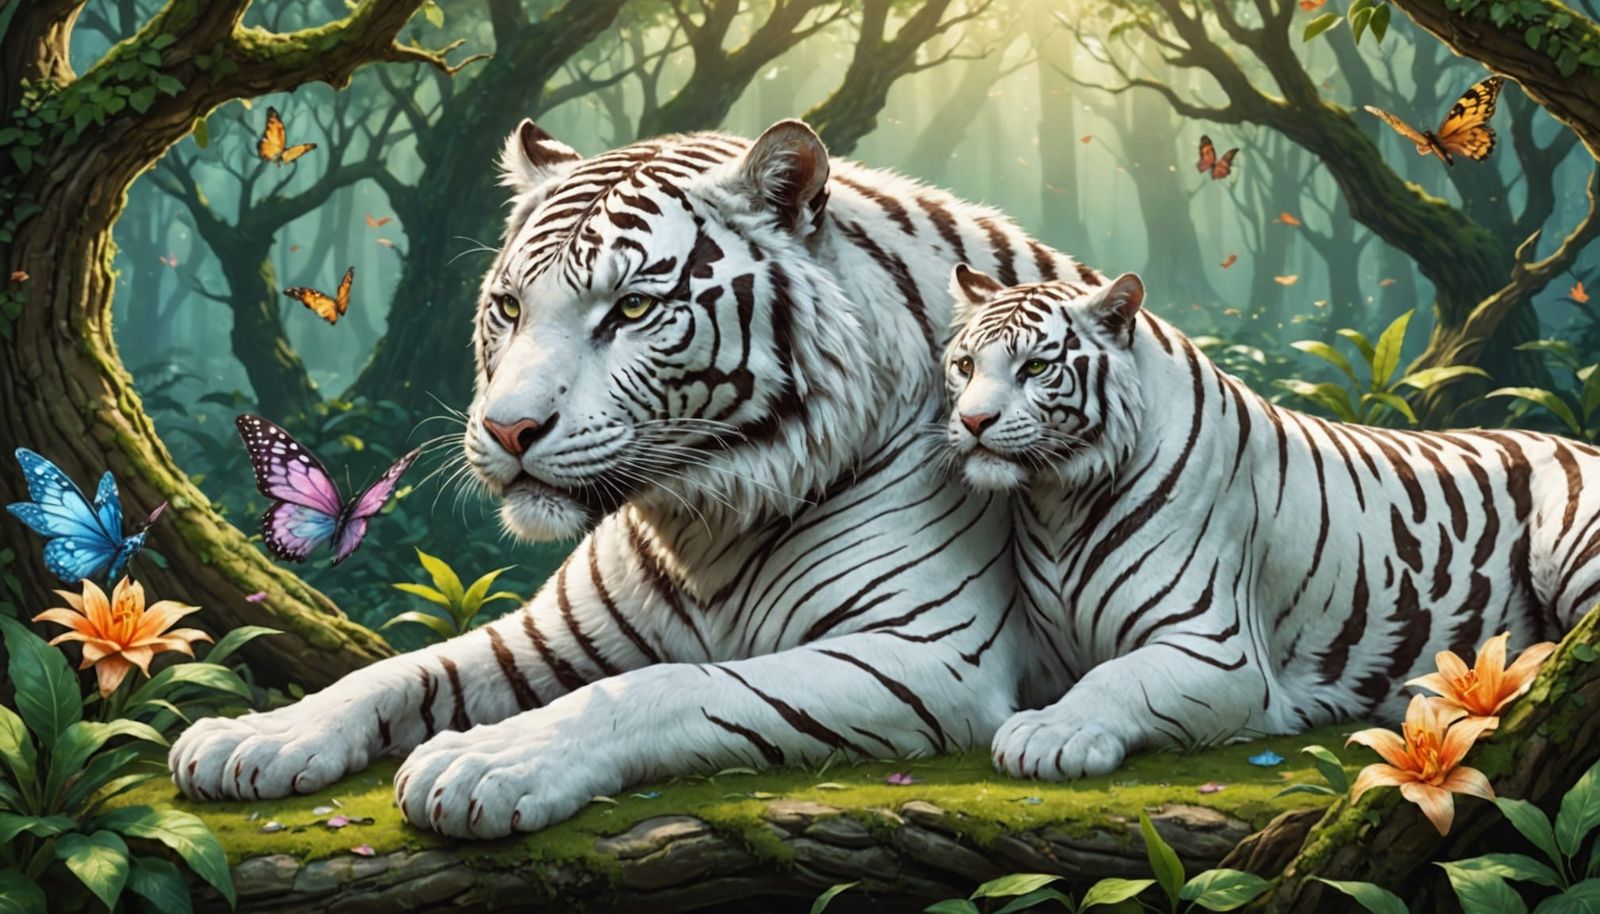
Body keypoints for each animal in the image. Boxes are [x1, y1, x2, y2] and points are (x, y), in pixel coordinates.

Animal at [168, 119, 1103, 837]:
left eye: (632, 309)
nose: (507, 429)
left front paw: (486, 760)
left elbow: (659, 686)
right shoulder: (552, 635)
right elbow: (399, 671)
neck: (705, 517)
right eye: (510, 308)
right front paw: (254, 737)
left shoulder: (929, 656)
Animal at [939, 267, 1595, 781]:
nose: (972, 422)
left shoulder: (1220, 651)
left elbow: (1117, 678)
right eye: (965, 365)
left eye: (1034, 367)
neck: (1058, 504)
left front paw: (1050, 733)